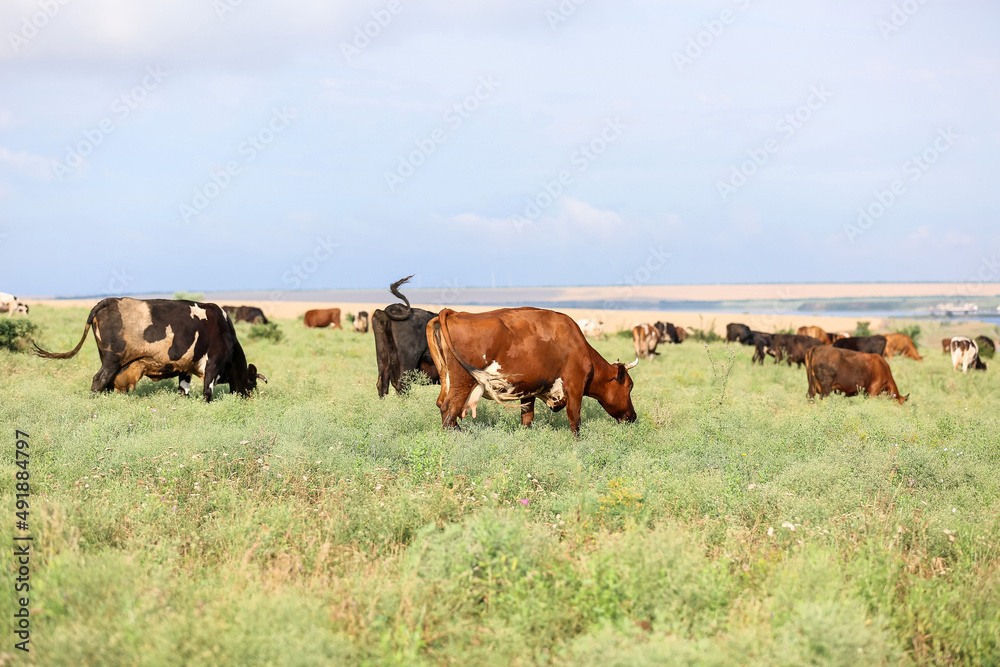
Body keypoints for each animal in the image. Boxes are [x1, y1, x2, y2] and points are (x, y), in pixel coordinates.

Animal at [33, 298, 266, 402]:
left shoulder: (185, 368)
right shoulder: (212, 365)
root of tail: (111, 300)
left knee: (105, 383)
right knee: (98, 381)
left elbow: (183, 390)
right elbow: (207, 392)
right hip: (111, 360)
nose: (250, 400)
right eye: (252, 384)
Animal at [426, 306, 636, 436]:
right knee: (450, 409)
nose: (633, 417)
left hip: (448, 379)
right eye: (629, 386)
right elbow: (575, 421)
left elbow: (527, 419)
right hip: (463, 381)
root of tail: (454, 313)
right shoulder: (575, 389)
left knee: (443, 406)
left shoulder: (529, 391)